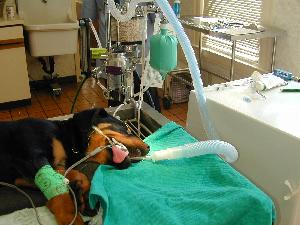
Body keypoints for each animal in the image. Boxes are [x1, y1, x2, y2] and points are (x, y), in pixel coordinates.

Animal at [0, 108, 149, 224]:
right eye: (125, 128)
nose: (148, 147)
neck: (67, 140)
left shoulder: (23, 178)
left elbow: (74, 178)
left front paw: (81, 197)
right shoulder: (32, 158)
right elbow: (60, 193)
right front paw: (71, 216)